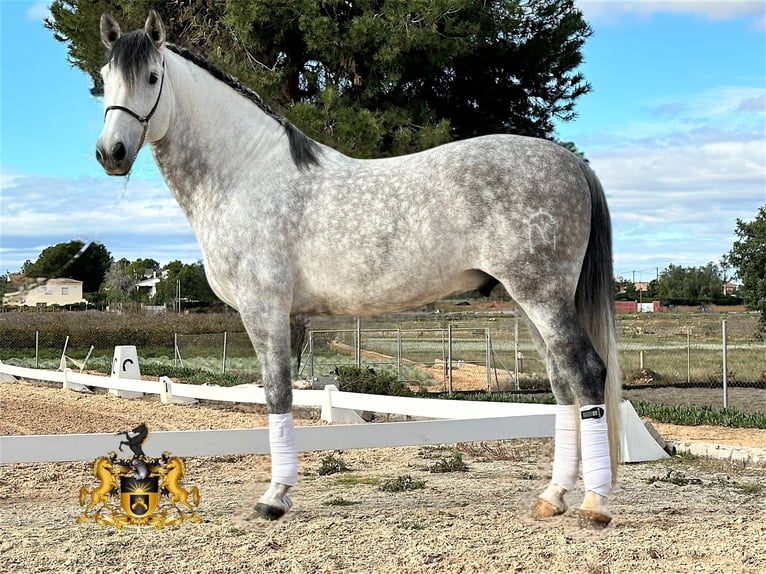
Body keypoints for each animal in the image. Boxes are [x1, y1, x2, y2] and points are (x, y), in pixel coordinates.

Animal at [97, 11, 624, 528]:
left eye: (152, 76)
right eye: (104, 77)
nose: (111, 153)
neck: (245, 176)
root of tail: (571, 162)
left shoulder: (264, 308)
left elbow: (278, 394)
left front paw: (275, 497)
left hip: (542, 296)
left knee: (586, 373)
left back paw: (594, 504)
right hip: (530, 300)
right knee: (561, 383)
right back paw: (552, 497)